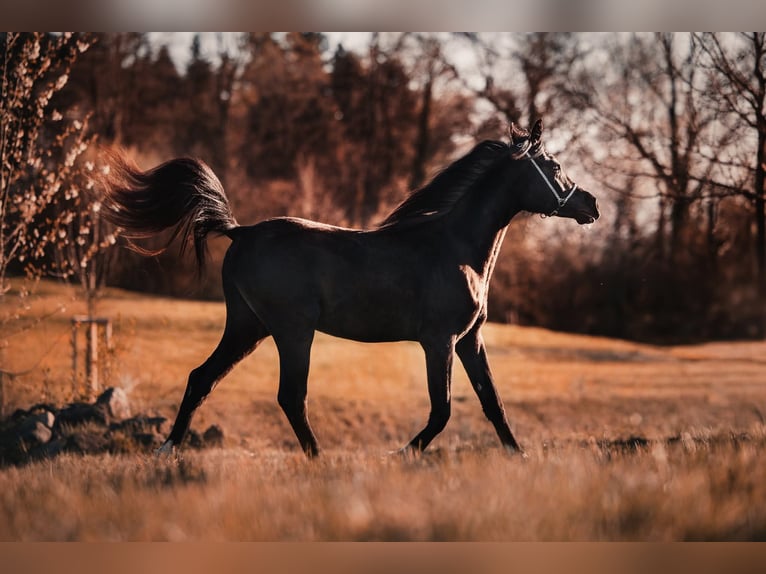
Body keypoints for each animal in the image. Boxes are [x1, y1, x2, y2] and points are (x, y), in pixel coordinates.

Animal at [101, 120, 599, 458]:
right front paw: (399, 454)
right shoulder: (439, 341)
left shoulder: (469, 341)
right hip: (292, 331)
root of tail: (241, 231)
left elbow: (493, 403)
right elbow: (442, 410)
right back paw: (318, 459)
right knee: (290, 396)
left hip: (248, 327)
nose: (591, 204)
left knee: (202, 377)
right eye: (554, 165)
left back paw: (168, 449)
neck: (454, 247)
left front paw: (520, 456)